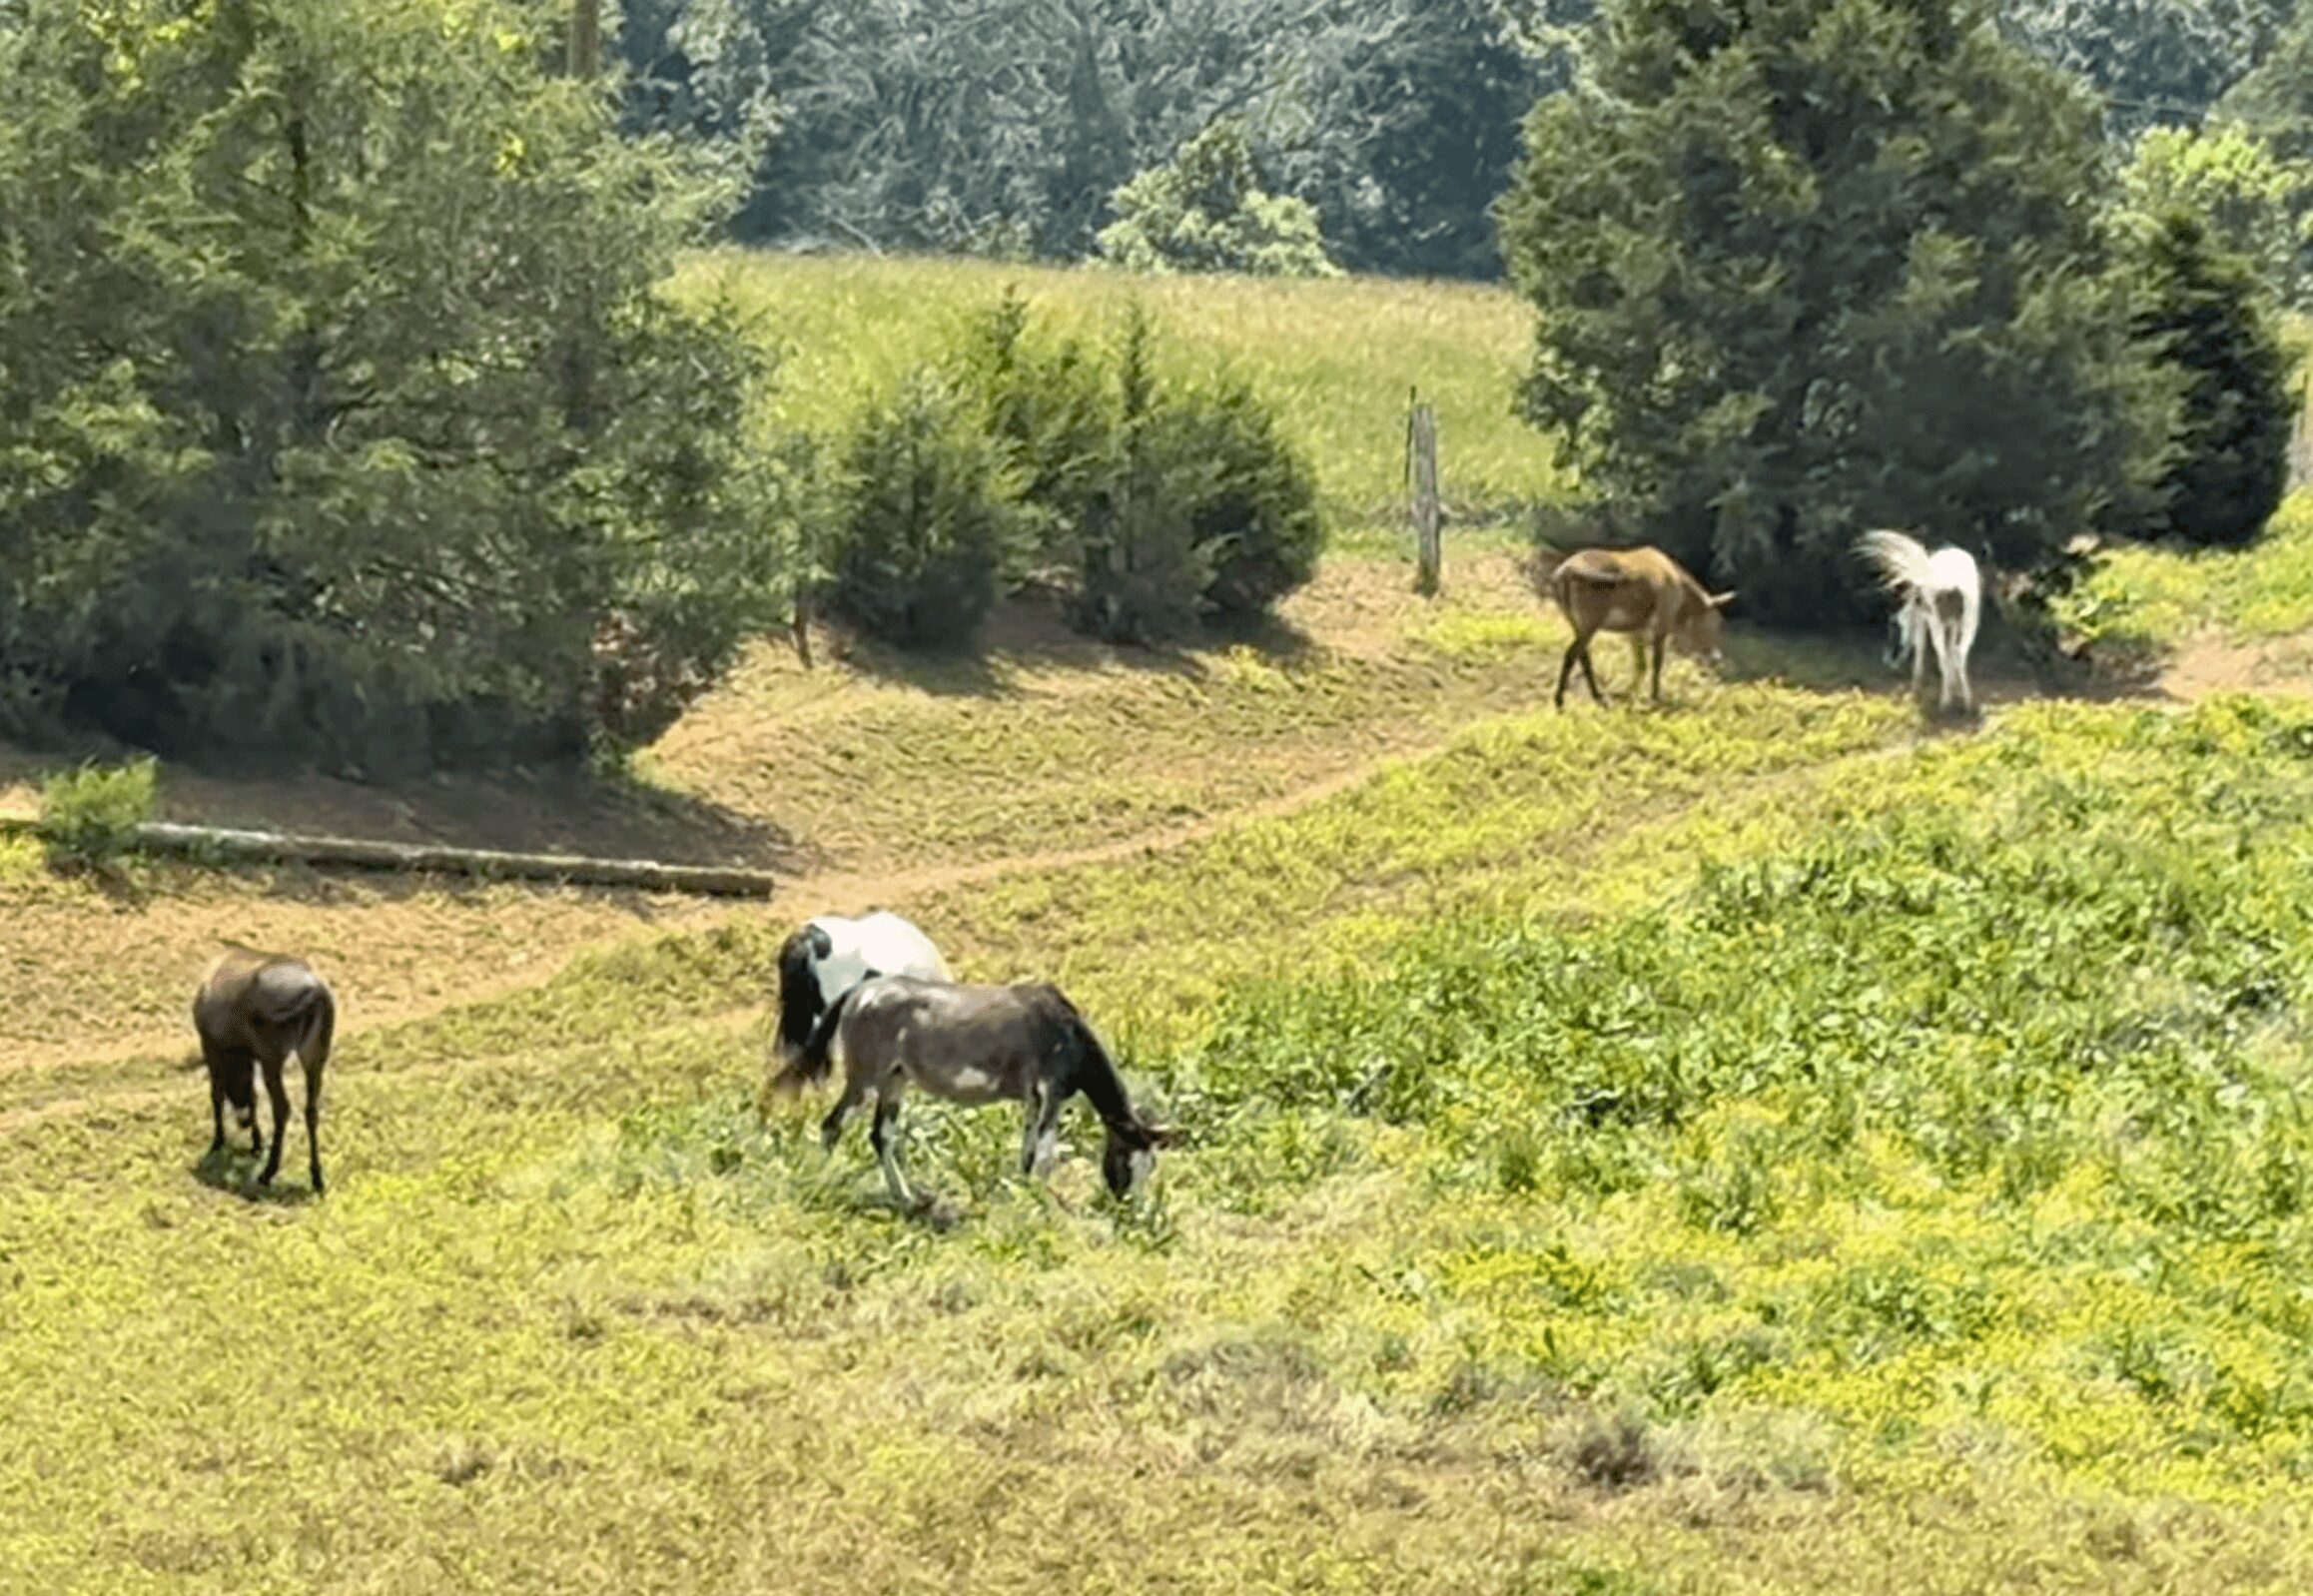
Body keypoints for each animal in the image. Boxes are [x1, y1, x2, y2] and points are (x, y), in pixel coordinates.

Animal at [192, 946, 336, 1195]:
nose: (243, 1122)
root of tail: (315, 990)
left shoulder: (210, 1047)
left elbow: (217, 1094)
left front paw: (218, 1142)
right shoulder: (249, 1056)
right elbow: (253, 1095)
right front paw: (256, 1143)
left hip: (273, 1060)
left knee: (282, 1108)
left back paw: (268, 1172)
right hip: (314, 1059)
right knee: (311, 1110)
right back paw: (316, 1177)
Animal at [770, 974, 1175, 1207]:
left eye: (1151, 1165)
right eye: (1126, 1159)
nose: (1128, 1207)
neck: (1066, 1031)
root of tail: (859, 993)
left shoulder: (1034, 1100)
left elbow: (1028, 1153)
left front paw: (1021, 1193)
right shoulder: (1052, 1093)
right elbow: (1045, 1155)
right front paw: (1043, 1203)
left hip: (894, 1082)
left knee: (880, 1135)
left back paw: (907, 1197)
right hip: (865, 1080)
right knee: (832, 1126)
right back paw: (827, 1183)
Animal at [1540, 545, 1736, 708]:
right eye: (1717, 622)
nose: (1716, 657)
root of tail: (1565, 572)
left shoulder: (1636, 630)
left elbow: (1640, 664)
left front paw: (1629, 694)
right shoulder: (1661, 624)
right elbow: (1657, 663)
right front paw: (1655, 697)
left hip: (1575, 621)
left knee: (1583, 655)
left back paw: (1597, 696)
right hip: (1590, 621)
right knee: (1572, 654)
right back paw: (1561, 700)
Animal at [1855, 529, 1981, 715]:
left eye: (1892, 632)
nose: (1888, 662)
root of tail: (1953, 586)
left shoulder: (1923, 620)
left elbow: (1920, 646)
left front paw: (1916, 685)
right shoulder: (1952, 624)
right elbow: (1951, 651)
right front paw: (1954, 688)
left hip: (1937, 623)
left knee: (1942, 654)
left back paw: (1945, 703)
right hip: (1969, 622)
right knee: (1959, 653)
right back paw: (1967, 703)